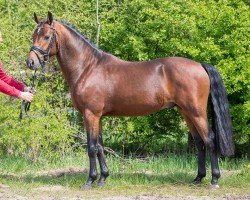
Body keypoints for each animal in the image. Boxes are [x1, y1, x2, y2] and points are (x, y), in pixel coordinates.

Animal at [25, 11, 234, 188]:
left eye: (46, 36)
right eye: (33, 35)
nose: (30, 62)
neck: (88, 68)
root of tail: (199, 65)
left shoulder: (90, 115)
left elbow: (91, 147)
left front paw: (90, 181)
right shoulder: (98, 117)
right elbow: (100, 146)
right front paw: (103, 178)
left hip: (196, 112)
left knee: (209, 139)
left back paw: (214, 180)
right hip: (185, 111)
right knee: (199, 142)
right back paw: (198, 178)